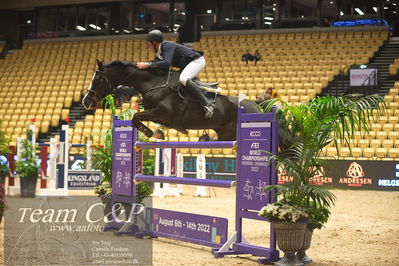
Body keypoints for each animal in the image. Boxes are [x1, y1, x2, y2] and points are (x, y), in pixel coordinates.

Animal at [83, 60, 264, 141]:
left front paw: (151, 133)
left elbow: (136, 117)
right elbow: (140, 118)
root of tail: (256, 107)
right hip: (226, 135)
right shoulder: (158, 115)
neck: (153, 84)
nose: (85, 101)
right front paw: (158, 132)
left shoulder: (164, 113)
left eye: (97, 79)